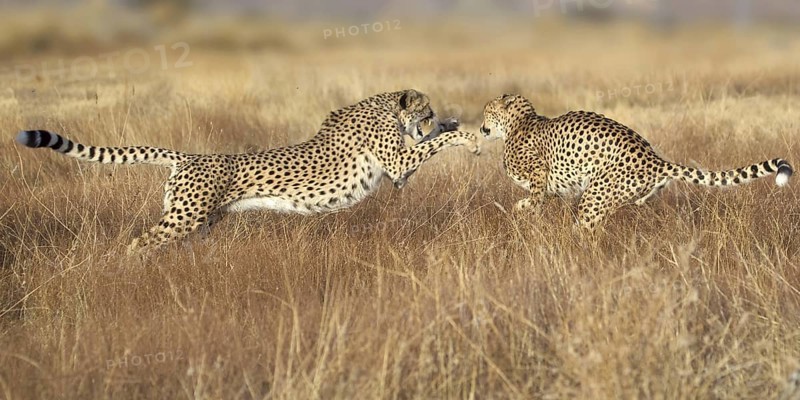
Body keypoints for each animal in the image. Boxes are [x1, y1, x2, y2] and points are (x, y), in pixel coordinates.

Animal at [15, 89, 479, 253]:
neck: (384, 106)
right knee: (138, 242)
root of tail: (187, 156)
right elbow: (432, 147)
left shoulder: (400, 165)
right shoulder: (398, 167)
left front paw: (456, 124)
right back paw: (130, 271)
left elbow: (433, 141)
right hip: (183, 219)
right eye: (425, 110)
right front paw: (469, 137)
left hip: (201, 220)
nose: (432, 117)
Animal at [479, 93, 793, 230]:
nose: (482, 128)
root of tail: (654, 159)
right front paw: (525, 211)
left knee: (587, 231)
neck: (519, 122)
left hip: (594, 197)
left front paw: (525, 210)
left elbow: (535, 194)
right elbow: (540, 197)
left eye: (486, 112)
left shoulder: (538, 170)